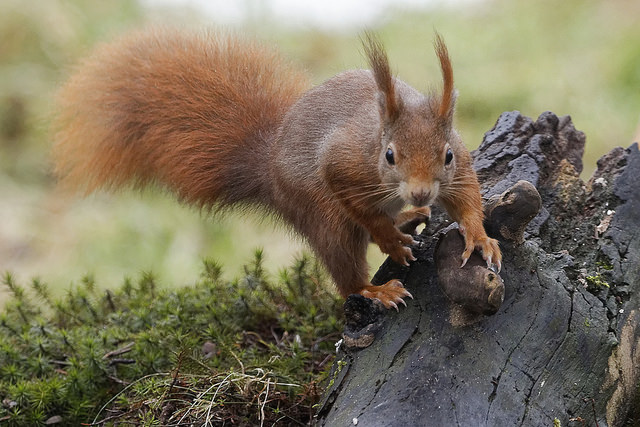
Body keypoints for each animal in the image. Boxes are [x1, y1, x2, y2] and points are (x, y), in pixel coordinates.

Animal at [53, 30, 500, 310]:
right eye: (389, 155)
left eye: (446, 155)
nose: (421, 192)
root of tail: (268, 167)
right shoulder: (342, 166)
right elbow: (360, 207)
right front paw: (390, 239)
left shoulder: (460, 167)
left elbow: (467, 199)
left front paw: (479, 238)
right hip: (320, 214)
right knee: (346, 269)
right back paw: (377, 287)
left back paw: (408, 218)